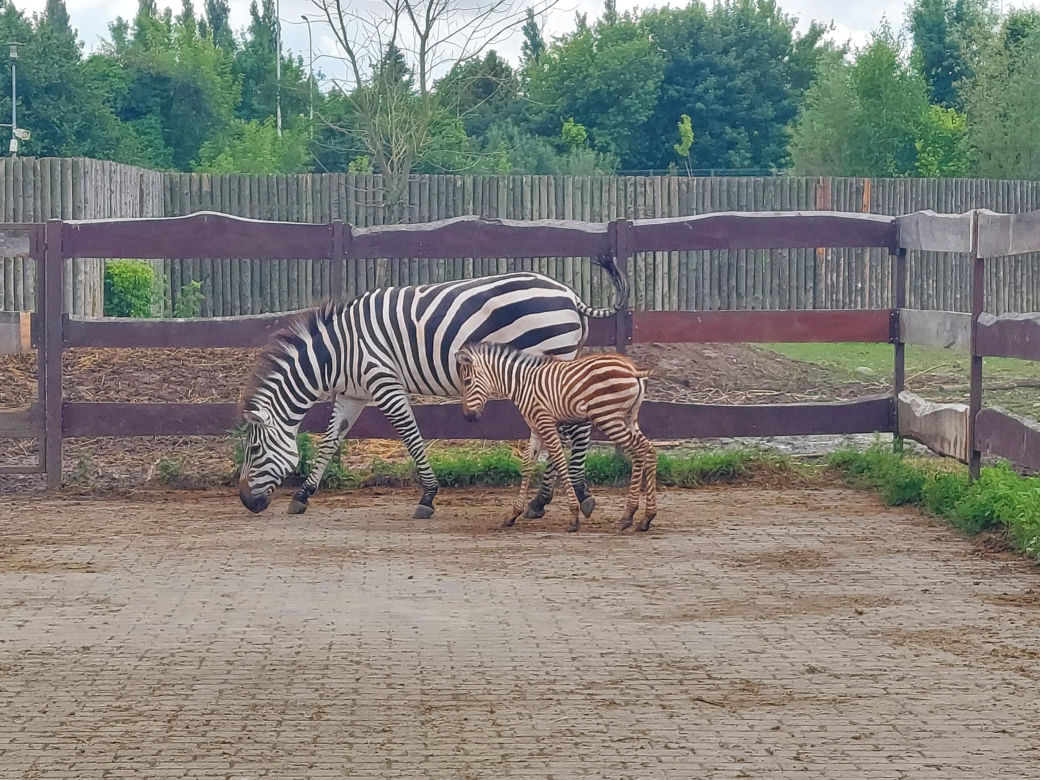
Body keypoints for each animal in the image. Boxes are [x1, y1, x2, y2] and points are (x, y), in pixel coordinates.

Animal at [238, 257, 629, 519]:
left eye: (254, 450)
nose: (245, 502)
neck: (338, 352)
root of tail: (568, 294)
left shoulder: (384, 382)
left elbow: (411, 437)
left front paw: (427, 497)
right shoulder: (352, 394)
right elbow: (330, 442)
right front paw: (303, 495)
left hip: (550, 361)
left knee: (572, 430)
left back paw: (575, 495)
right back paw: (544, 500)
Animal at [456, 341, 657, 533]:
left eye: (467, 382)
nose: (468, 417)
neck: (523, 384)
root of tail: (633, 369)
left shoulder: (546, 423)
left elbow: (560, 462)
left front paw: (574, 517)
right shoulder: (536, 428)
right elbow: (527, 464)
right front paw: (513, 514)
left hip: (608, 417)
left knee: (641, 449)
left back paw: (633, 516)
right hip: (629, 418)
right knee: (646, 451)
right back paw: (641, 518)